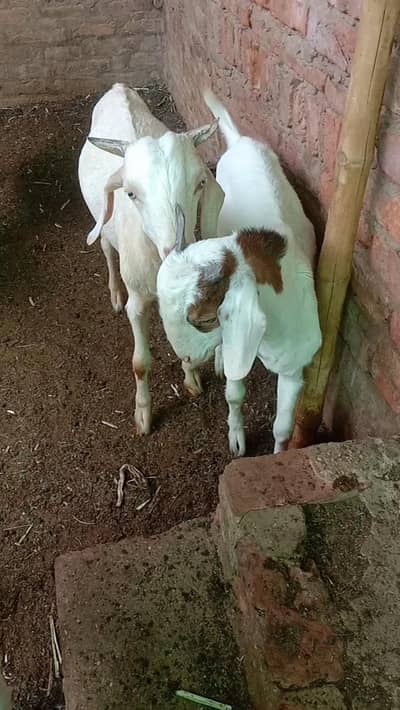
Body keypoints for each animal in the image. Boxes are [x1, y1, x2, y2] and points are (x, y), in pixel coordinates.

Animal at [78, 83, 224, 434]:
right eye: (131, 193)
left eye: (200, 183)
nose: (176, 249)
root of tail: (118, 87)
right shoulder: (139, 298)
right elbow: (140, 363)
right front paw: (143, 415)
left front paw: (191, 379)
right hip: (102, 223)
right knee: (106, 248)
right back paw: (114, 294)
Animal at [157, 89, 321, 456]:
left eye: (203, 318)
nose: (186, 358)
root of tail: (239, 140)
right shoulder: (236, 339)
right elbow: (234, 393)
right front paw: (236, 438)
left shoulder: (296, 363)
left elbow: (283, 425)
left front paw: (277, 455)